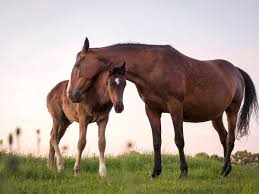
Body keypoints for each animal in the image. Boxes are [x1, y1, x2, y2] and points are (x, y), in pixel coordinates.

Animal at [68, 37, 258, 178]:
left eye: (77, 65)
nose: (71, 94)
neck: (154, 68)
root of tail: (236, 71)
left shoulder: (175, 108)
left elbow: (179, 140)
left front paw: (183, 172)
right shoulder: (152, 110)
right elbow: (156, 141)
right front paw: (155, 172)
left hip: (232, 111)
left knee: (230, 139)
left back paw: (223, 171)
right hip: (216, 116)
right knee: (224, 138)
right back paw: (227, 170)